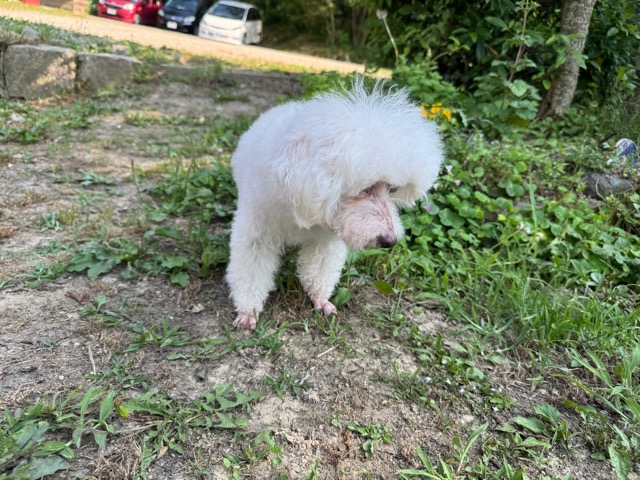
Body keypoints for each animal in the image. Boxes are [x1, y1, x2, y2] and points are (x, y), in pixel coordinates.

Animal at [225, 78, 444, 330]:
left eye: (392, 189)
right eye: (364, 188)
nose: (390, 241)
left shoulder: (325, 240)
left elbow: (320, 271)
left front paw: (320, 300)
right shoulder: (257, 235)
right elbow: (250, 274)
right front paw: (247, 311)